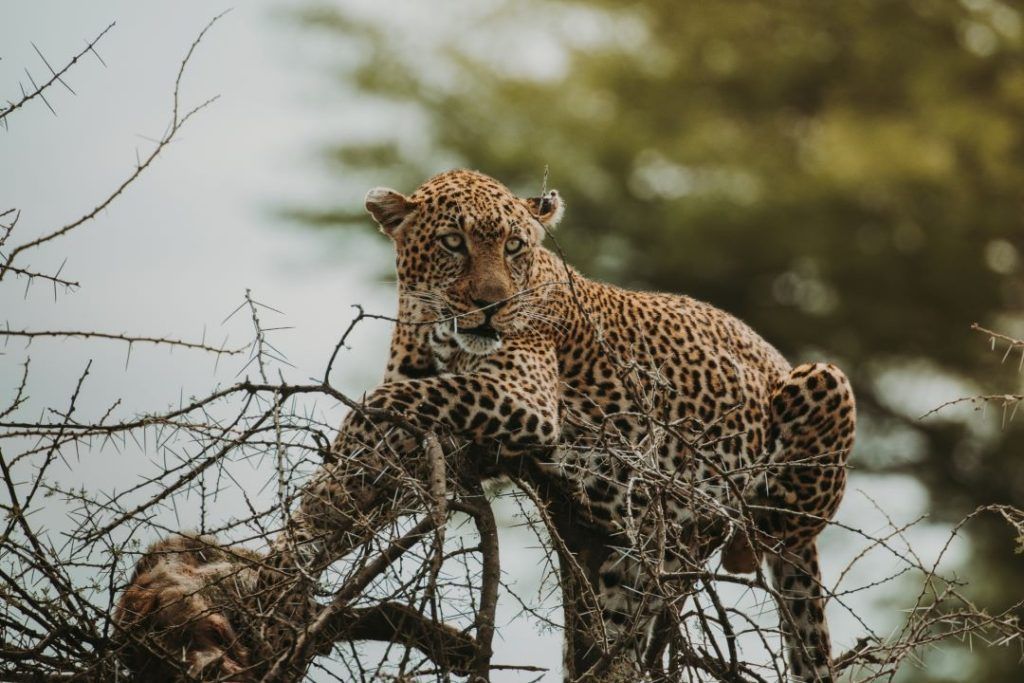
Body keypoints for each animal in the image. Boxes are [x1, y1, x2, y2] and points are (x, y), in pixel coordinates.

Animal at [115, 169, 855, 682]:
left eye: (515, 245)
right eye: (453, 243)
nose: (493, 304)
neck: (433, 327)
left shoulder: (519, 394)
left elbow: (389, 399)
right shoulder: (420, 436)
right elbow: (341, 486)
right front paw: (274, 576)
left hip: (819, 383)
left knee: (766, 529)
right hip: (610, 552)